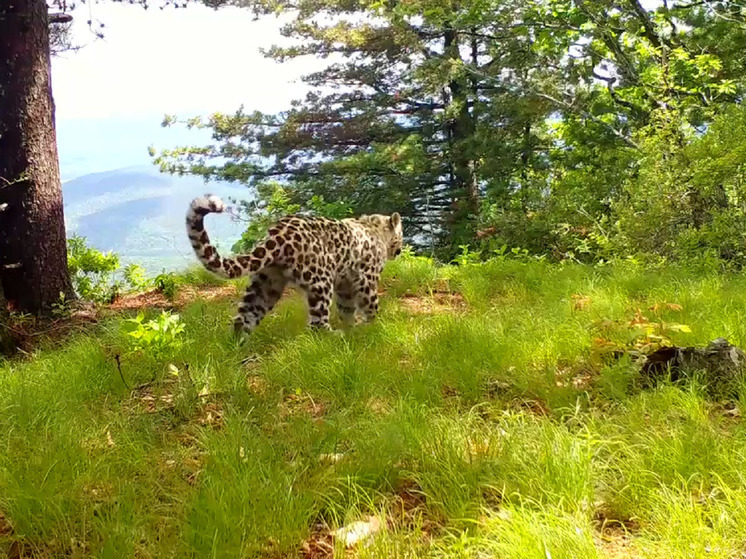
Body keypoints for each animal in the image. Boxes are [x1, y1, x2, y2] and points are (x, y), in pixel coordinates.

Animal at [186, 196, 404, 334]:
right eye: (401, 233)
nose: (400, 249)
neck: (375, 229)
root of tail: (276, 233)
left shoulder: (345, 285)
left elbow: (346, 308)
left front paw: (352, 327)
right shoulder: (366, 279)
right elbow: (370, 304)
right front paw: (372, 325)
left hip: (266, 283)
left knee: (243, 317)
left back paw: (238, 349)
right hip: (321, 282)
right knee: (317, 324)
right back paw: (333, 335)